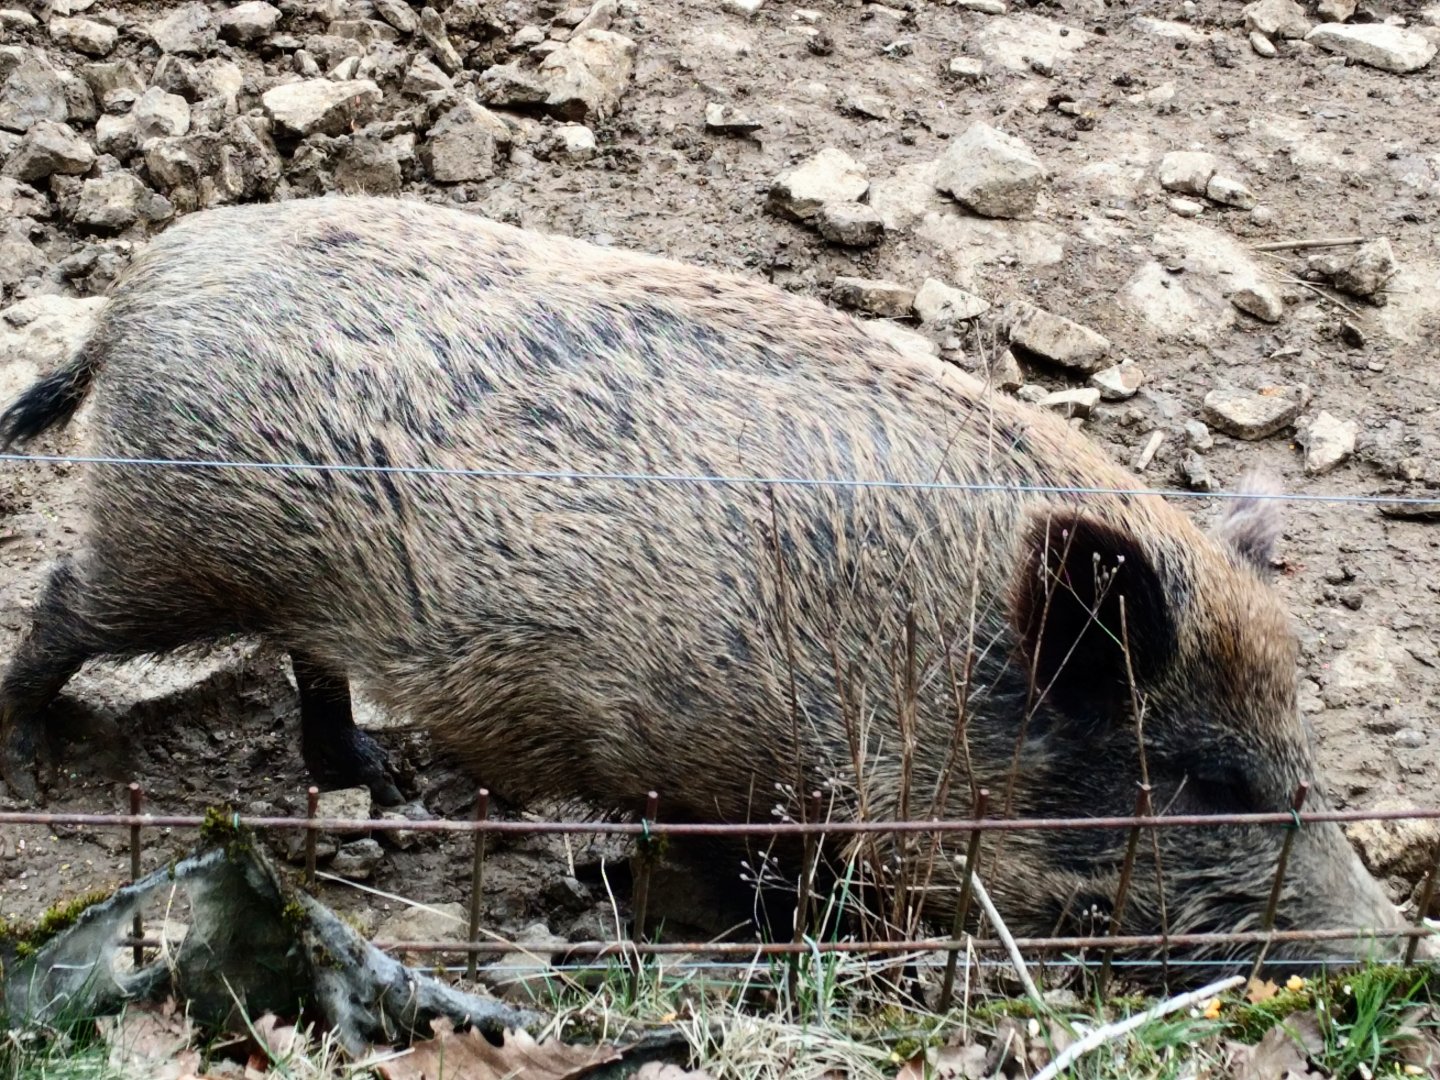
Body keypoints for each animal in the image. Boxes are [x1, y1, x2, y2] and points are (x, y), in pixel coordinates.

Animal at [0, 195, 1428, 974]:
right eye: (1203, 779)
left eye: (1305, 760)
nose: (1395, 943)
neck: (911, 658)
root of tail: (132, 295)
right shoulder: (695, 760)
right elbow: (718, 875)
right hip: (169, 538)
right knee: (65, 597)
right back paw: (33, 747)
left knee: (310, 660)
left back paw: (378, 780)